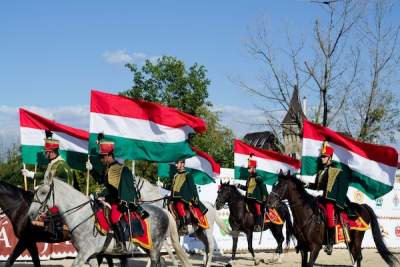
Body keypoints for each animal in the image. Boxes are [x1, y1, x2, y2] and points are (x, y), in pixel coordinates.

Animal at [28, 179, 191, 267]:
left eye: (43, 193)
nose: (30, 214)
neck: (81, 216)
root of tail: (163, 211)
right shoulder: (91, 255)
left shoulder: (84, 254)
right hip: (148, 247)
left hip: (156, 247)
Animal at [266, 173, 400, 266]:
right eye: (273, 185)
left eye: (280, 186)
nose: (269, 202)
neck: (307, 215)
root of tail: (362, 206)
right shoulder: (304, 249)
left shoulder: (315, 248)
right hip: (350, 241)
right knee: (355, 257)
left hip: (357, 239)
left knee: (358, 257)